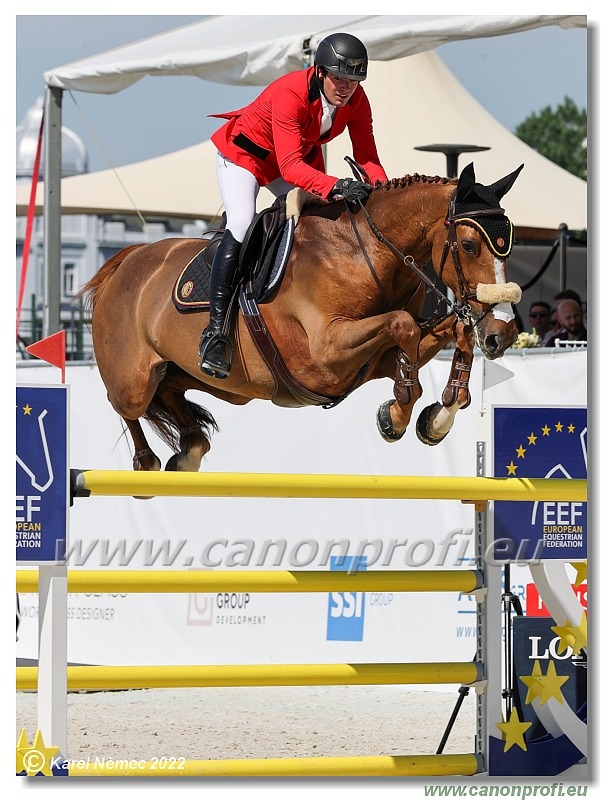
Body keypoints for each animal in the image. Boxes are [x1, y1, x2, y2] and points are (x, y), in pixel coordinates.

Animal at [81, 163, 524, 476]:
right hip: (133, 380)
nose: (502, 333)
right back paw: (147, 462)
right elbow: (404, 325)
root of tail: (123, 263)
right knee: (125, 404)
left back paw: (188, 450)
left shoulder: (369, 362)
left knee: (172, 392)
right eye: (469, 245)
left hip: (205, 379)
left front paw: (437, 418)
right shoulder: (325, 355)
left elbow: (447, 331)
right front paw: (397, 415)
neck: (367, 253)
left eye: (509, 245)